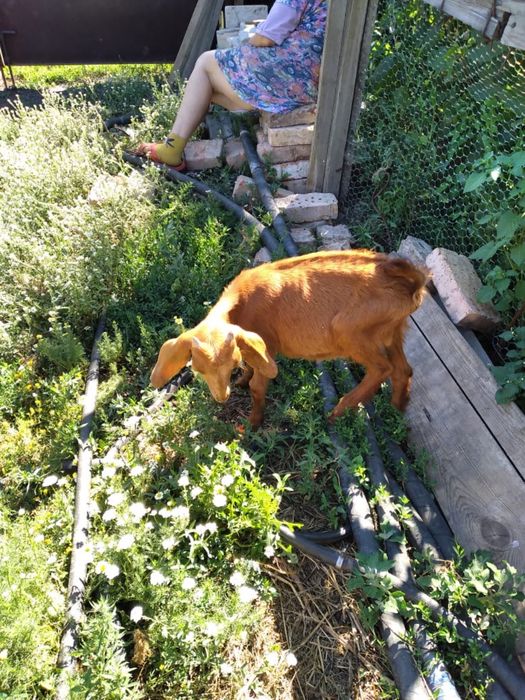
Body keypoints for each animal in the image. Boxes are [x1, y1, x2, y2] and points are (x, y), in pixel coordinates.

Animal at [150, 249, 427, 427]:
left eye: (231, 363)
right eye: (197, 368)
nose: (222, 396)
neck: (242, 301)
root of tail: (412, 285)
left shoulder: (268, 345)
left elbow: (258, 386)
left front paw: (252, 425)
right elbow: (252, 367)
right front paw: (242, 380)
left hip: (351, 332)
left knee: (383, 368)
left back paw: (336, 413)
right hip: (392, 330)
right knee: (403, 369)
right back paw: (397, 409)